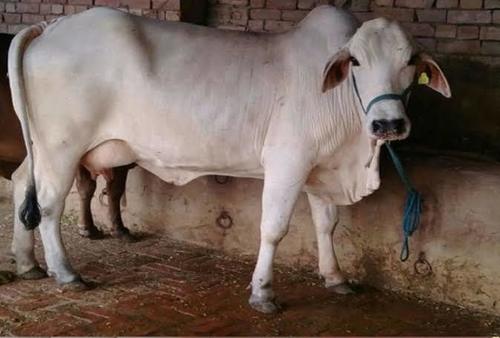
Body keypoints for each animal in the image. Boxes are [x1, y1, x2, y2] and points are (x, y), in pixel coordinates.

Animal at [9, 5, 452, 312]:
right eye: (357, 61)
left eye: (411, 61)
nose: (388, 124)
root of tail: (52, 25)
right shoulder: (288, 162)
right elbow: (273, 229)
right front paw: (263, 293)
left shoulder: (320, 169)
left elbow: (327, 225)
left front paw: (335, 276)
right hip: (62, 146)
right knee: (47, 206)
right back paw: (66, 272)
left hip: (42, 147)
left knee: (20, 185)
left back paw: (27, 262)